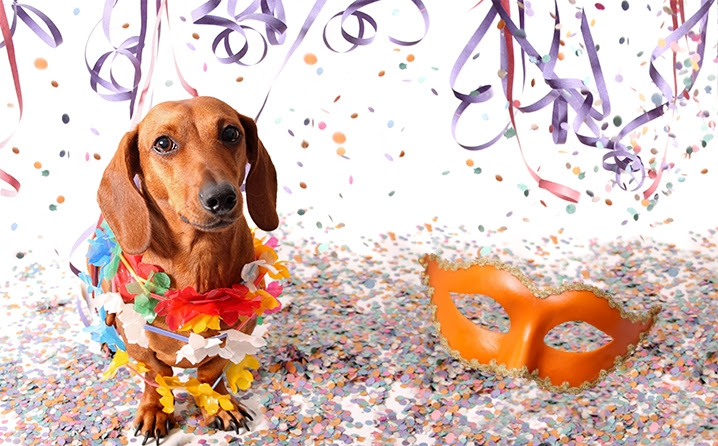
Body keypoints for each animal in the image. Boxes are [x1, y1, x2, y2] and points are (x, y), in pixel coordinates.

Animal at [94, 96, 278, 444]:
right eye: (163, 143)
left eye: (231, 133)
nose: (221, 197)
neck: (198, 262)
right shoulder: (140, 345)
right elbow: (156, 375)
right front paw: (155, 409)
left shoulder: (233, 336)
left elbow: (210, 372)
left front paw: (217, 403)